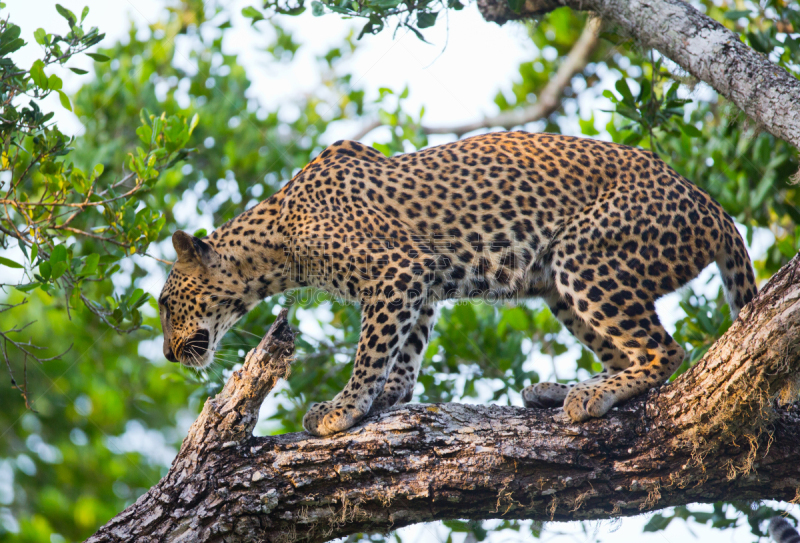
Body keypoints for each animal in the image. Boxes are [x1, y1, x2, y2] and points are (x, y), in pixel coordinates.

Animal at [156, 131, 756, 438]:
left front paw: (343, 409)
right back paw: (559, 390)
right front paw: (390, 395)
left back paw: (588, 396)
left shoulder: (395, 269)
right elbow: (402, 350)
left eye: (163, 303)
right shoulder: (418, 279)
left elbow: (370, 351)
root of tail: (713, 207)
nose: (164, 354)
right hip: (559, 287)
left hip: (584, 257)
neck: (274, 244)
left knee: (664, 351)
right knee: (625, 354)